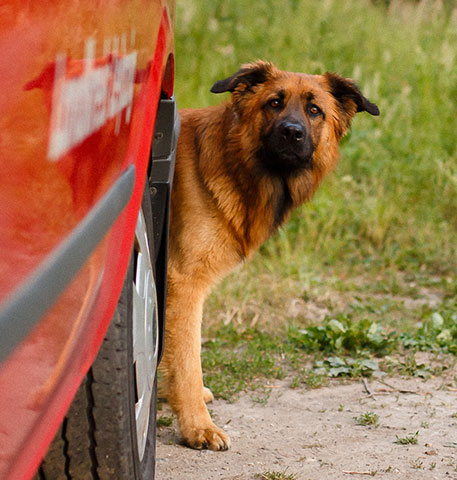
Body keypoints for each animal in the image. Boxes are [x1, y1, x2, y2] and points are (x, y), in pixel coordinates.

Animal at [160, 60, 378, 450]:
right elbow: (187, 360)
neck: (233, 162)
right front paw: (198, 426)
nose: (292, 133)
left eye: (314, 110)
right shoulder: (183, 284)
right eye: (274, 103)